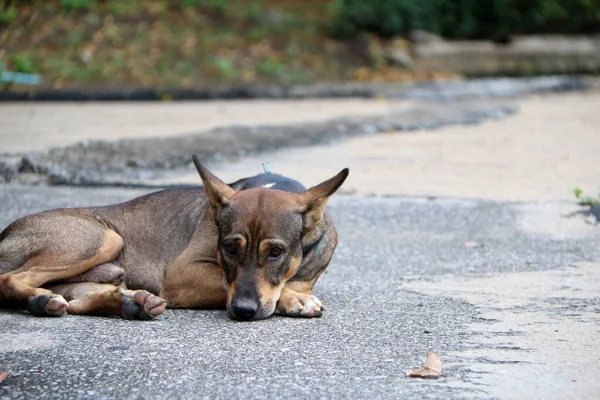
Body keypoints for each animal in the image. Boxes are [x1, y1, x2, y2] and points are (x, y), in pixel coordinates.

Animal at [0, 157, 350, 322]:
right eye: (229, 248)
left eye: (276, 252)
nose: (243, 311)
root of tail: (5, 235)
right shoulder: (184, 274)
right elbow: (232, 284)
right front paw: (293, 300)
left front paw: (292, 295)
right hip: (102, 238)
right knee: (9, 279)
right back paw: (40, 298)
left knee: (75, 300)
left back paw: (127, 303)